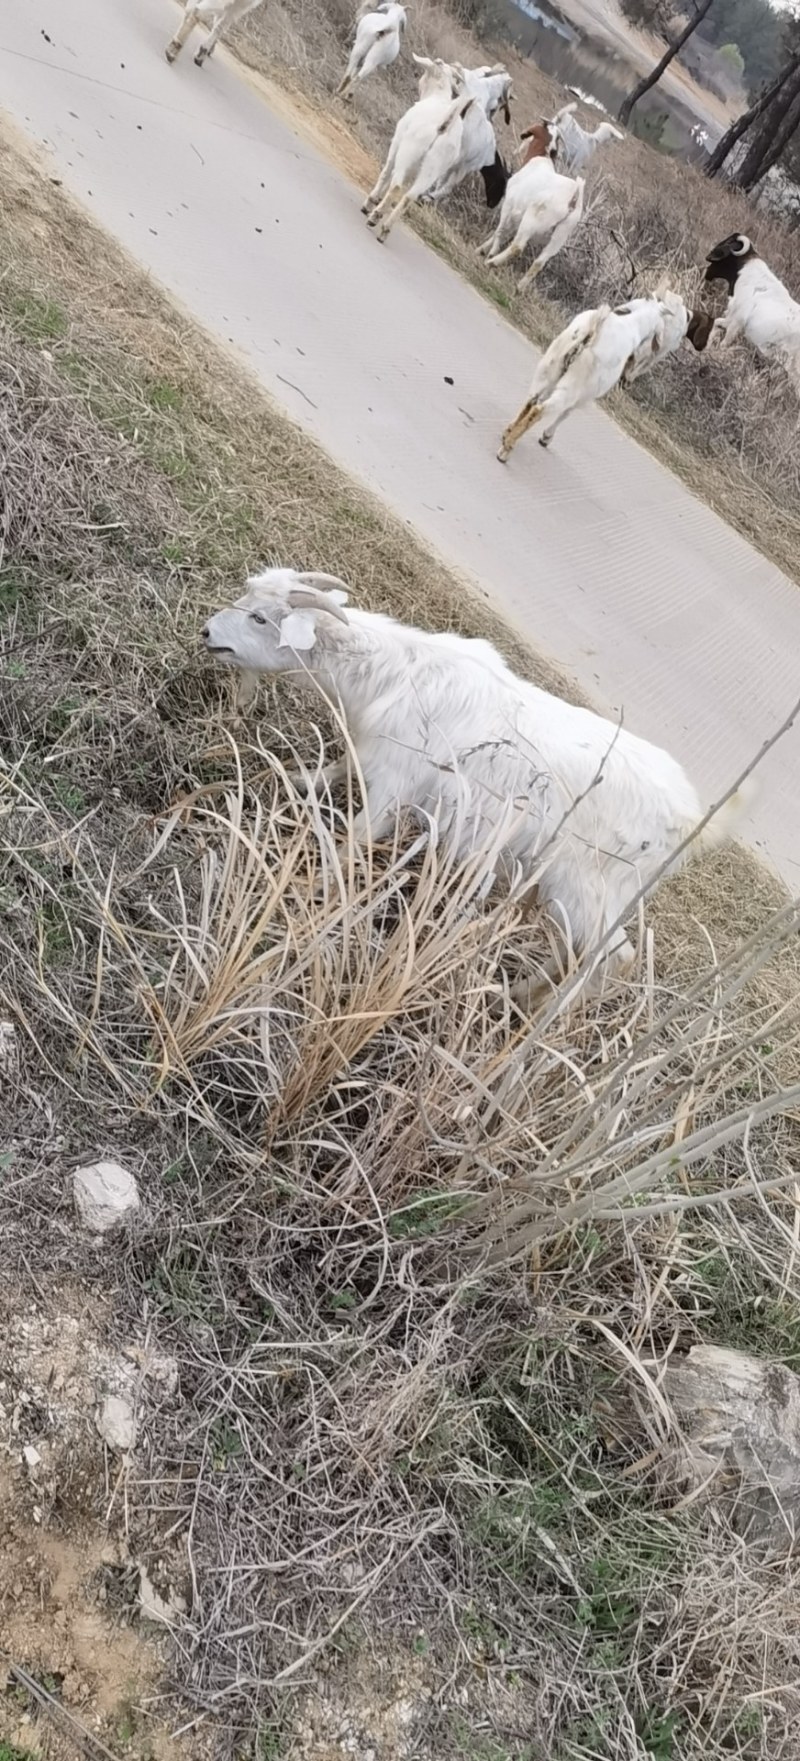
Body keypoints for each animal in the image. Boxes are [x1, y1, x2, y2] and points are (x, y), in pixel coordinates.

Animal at [203, 567, 747, 993]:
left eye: (259, 618)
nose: (208, 634)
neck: (395, 672)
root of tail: (691, 821)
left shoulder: (396, 784)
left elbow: (355, 838)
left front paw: (310, 886)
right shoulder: (379, 755)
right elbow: (340, 766)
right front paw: (298, 779)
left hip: (590, 884)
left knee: (613, 959)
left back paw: (529, 1013)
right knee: (579, 951)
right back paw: (520, 995)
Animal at [500, 290, 701, 457]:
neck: (633, 325)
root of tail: (591, 331)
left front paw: (512, 429)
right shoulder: (586, 395)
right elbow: (567, 413)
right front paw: (546, 437)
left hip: (549, 368)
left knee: (532, 400)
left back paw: (507, 434)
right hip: (570, 387)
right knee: (540, 409)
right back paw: (506, 449)